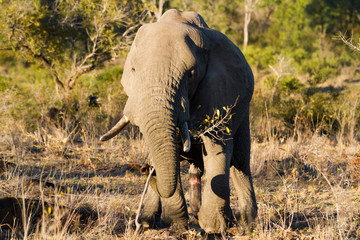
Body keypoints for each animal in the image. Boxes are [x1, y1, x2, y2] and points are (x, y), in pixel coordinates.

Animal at [101, 8, 258, 232]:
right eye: (133, 71)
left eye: (191, 74)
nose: (146, 170)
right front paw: (174, 225)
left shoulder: (221, 91)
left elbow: (217, 148)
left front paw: (213, 227)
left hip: (244, 111)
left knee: (240, 161)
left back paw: (246, 222)